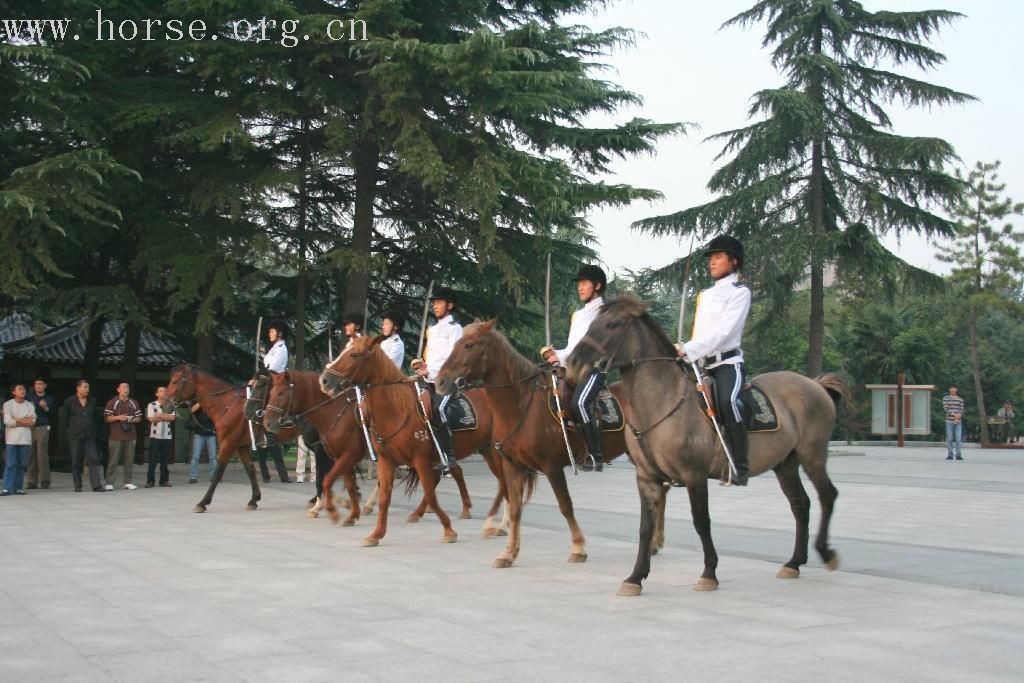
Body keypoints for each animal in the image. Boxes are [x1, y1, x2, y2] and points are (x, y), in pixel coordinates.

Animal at [163, 362, 299, 511]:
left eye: (175, 381)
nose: (164, 405)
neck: (227, 405)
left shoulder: (228, 443)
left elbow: (218, 472)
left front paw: (203, 502)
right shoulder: (241, 446)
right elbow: (250, 469)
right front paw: (254, 499)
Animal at [313, 337, 501, 548]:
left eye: (354, 354)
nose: (324, 380)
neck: (397, 410)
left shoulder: (419, 460)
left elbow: (430, 494)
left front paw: (449, 530)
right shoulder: (385, 460)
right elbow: (383, 496)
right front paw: (375, 534)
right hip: (484, 450)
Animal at [432, 321, 630, 573]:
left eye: (468, 345)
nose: (441, 382)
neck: (521, 405)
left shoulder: (552, 467)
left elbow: (565, 505)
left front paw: (578, 548)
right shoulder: (513, 466)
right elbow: (516, 508)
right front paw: (508, 553)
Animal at [565, 296, 843, 593]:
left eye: (613, 324)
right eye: (592, 322)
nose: (573, 363)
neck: (661, 403)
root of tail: (814, 384)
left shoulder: (694, 475)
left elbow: (701, 521)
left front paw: (709, 572)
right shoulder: (647, 478)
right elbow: (645, 528)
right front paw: (635, 577)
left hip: (812, 455)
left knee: (827, 495)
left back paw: (825, 552)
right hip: (785, 464)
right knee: (800, 504)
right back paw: (794, 562)